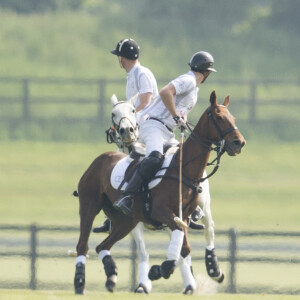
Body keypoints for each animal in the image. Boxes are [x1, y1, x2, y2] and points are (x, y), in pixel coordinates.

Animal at [74, 91, 245, 292]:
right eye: (219, 117)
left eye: (232, 118)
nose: (239, 143)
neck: (183, 168)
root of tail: (99, 159)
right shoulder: (160, 212)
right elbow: (177, 247)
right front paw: (159, 271)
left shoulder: (183, 216)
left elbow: (184, 248)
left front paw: (162, 270)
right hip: (89, 206)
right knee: (83, 245)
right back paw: (80, 283)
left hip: (126, 221)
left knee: (102, 246)